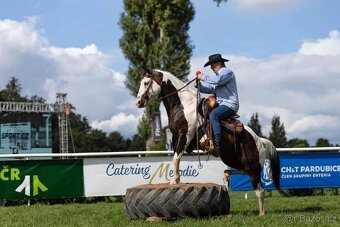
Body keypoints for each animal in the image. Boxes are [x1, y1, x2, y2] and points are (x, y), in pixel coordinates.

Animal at [135, 68, 286, 215]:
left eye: (146, 82)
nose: (138, 102)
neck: (184, 106)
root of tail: (259, 140)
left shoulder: (185, 135)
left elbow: (176, 157)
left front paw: (175, 180)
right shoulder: (175, 136)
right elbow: (175, 157)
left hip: (253, 167)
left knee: (260, 191)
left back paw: (261, 214)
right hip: (232, 159)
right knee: (243, 172)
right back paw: (226, 175)